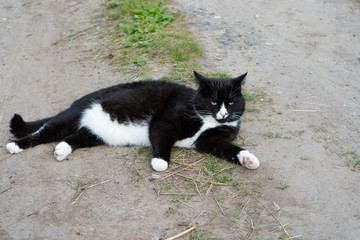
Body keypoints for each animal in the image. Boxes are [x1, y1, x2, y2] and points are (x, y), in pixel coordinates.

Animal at [5, 71, 258, 171]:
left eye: (231, 103)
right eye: (214, 102)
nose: (223, 114)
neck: (208, 122)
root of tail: (78, 101)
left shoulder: (210, 141)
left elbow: (229, 149)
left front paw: (248, 159)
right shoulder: (163, 123)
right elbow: (161, 140)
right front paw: (160, 162)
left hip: (95, 134)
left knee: (74, 137)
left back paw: (61, 150)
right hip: (71, 116)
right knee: (44, 132)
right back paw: (15, 146)